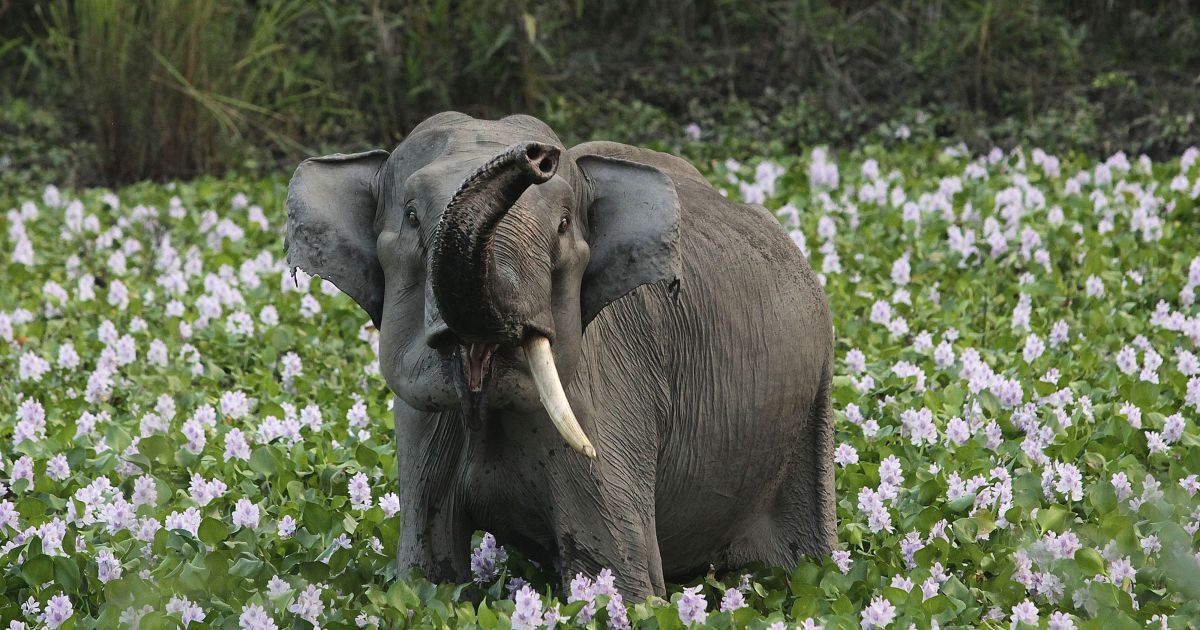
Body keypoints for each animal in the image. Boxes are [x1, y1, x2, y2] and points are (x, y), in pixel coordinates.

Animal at [285, 112, 835, 598]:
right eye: (413, 216)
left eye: (565, 224)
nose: (538, 157)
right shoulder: (420, 431)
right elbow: (427, 578)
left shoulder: (609, 389)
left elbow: (620, 581)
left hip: (814, 404)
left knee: (809, 561)